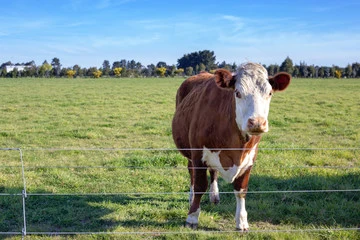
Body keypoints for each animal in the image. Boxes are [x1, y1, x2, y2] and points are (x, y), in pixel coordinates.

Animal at [170, 62, 292, 231]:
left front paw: (242, 222)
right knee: (191, 173)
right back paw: (191, 195)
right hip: (189, 152)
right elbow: (200, 185)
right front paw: (192, 217)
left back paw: (214, 196)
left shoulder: (249, 159)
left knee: (213, 171)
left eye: (269, 93)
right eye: (237, 93)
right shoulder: (198, 154)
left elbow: (241, 189)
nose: (257, 123)